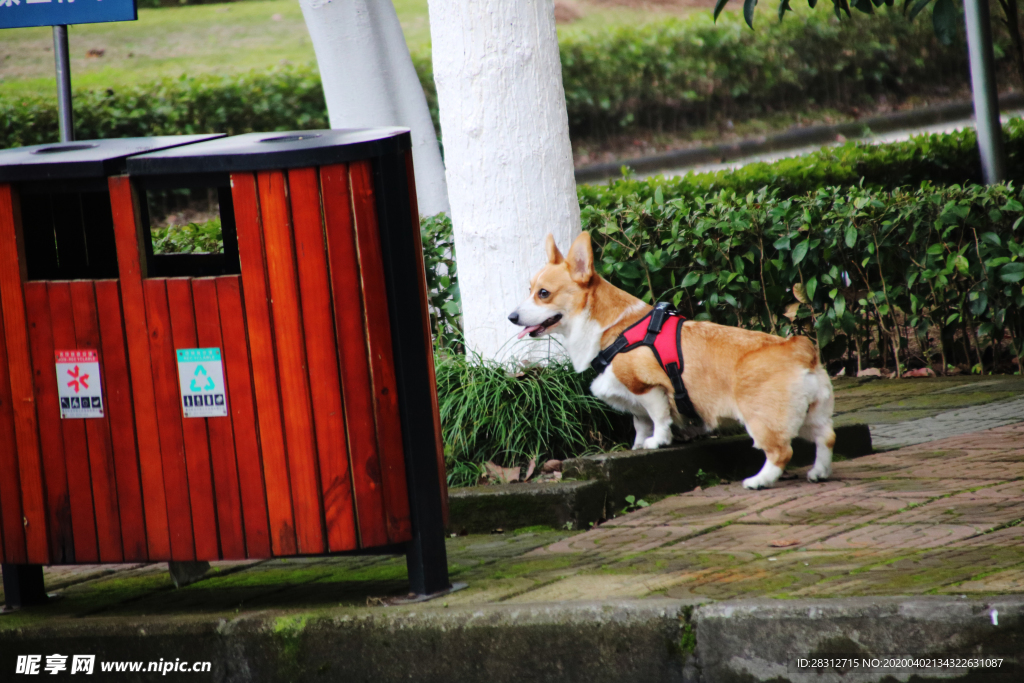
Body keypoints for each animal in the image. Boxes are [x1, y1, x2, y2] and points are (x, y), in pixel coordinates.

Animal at [507, 232, 835, 489]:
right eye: (529, 290)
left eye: (544, 294)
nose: (511, 317)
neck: (612, 329)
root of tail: (800, 349)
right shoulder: (631, 398)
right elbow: (640, 422)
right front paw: (638, 445)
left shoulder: (648, 386)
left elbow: (658, 417)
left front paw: (658, 441)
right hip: (811, 414)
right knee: (826, 437)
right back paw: (819, 472)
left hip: (762, 418)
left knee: (781, 452)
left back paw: (759, 481)